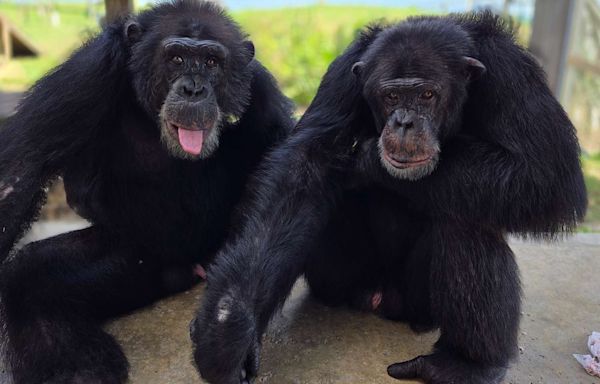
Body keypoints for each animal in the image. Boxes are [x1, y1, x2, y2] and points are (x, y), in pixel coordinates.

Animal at [0, 1, 292, 382]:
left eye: (212, 62)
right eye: (177, 59)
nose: (194, 89)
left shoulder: (261, 89)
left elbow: (283, 179)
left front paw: (230, 326)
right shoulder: (87, 71)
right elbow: (18, 171)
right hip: (135, 259)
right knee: (29, 278)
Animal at [191, 11, 584, 384]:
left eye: (427, 95)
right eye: (392, 96)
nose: (405, 122)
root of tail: (385, 301)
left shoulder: (512, 72)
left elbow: (545, 174)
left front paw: (366, 160)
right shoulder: (343, 73)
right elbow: (304, 165)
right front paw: (228, 325)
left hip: (420, 303)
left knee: (466, 220)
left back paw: (468, 364)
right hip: (342, 279)